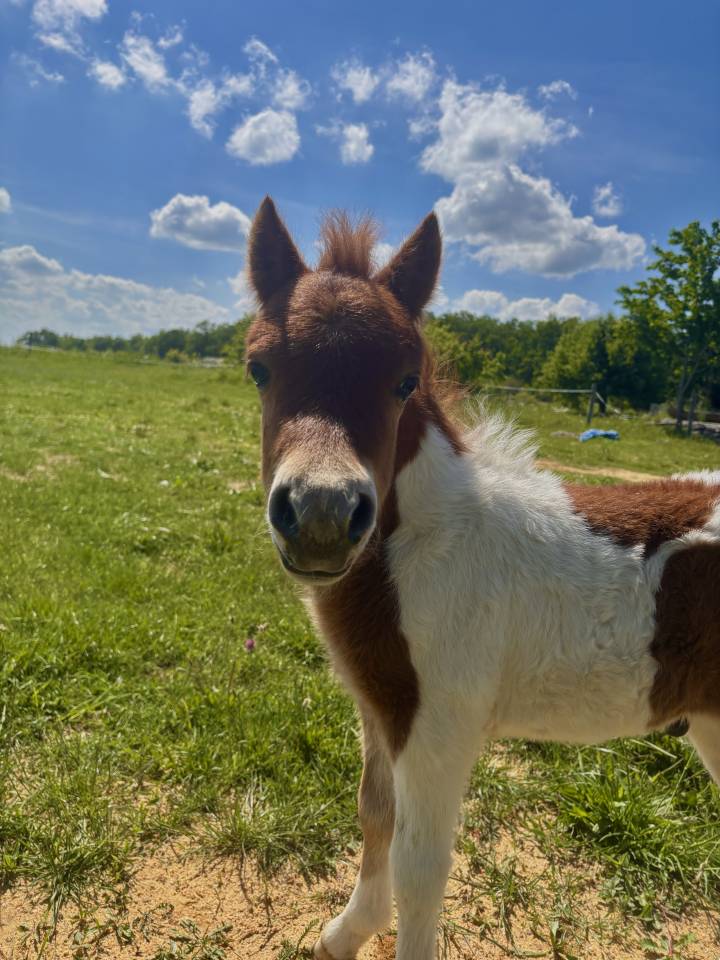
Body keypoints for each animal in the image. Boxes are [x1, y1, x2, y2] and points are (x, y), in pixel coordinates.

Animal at [244, 196, 720, 960]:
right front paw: (346, 934)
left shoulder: (441, 722)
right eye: (259, 369)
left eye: (405, 380)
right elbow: (374, 814)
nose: (321, 516)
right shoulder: (384, 709)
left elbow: (420, 867)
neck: (428, 546)